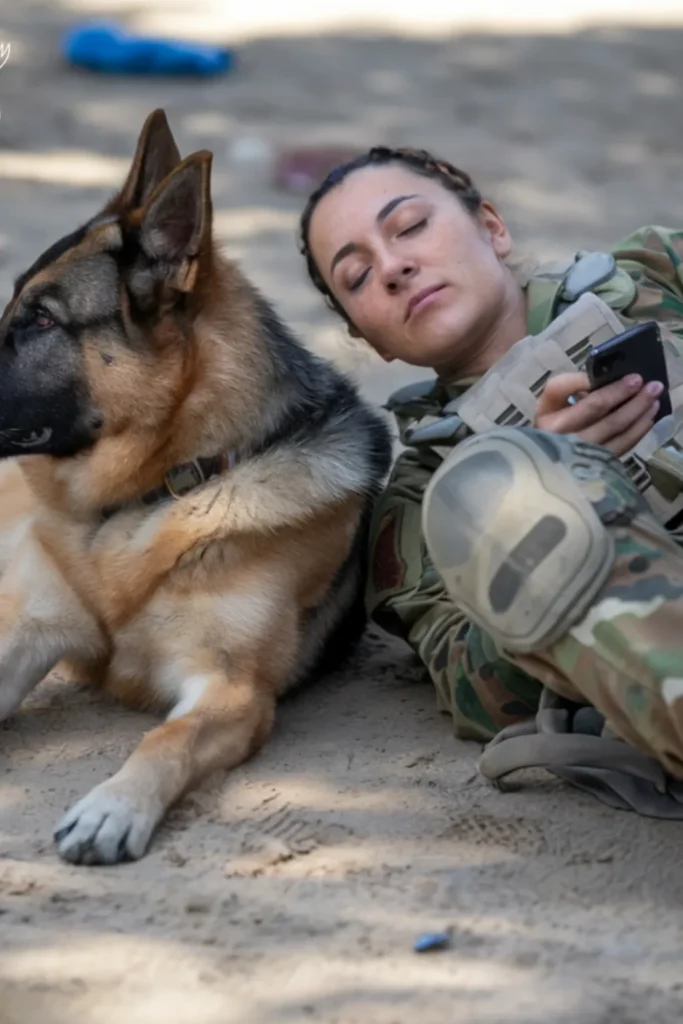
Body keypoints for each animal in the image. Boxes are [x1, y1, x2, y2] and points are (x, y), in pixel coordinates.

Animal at [0, 112, 389, 864]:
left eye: (43, 319)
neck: (147, 497)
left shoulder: (233, 691)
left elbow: (166, 738)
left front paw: (112, 807)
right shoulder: (29, 630)